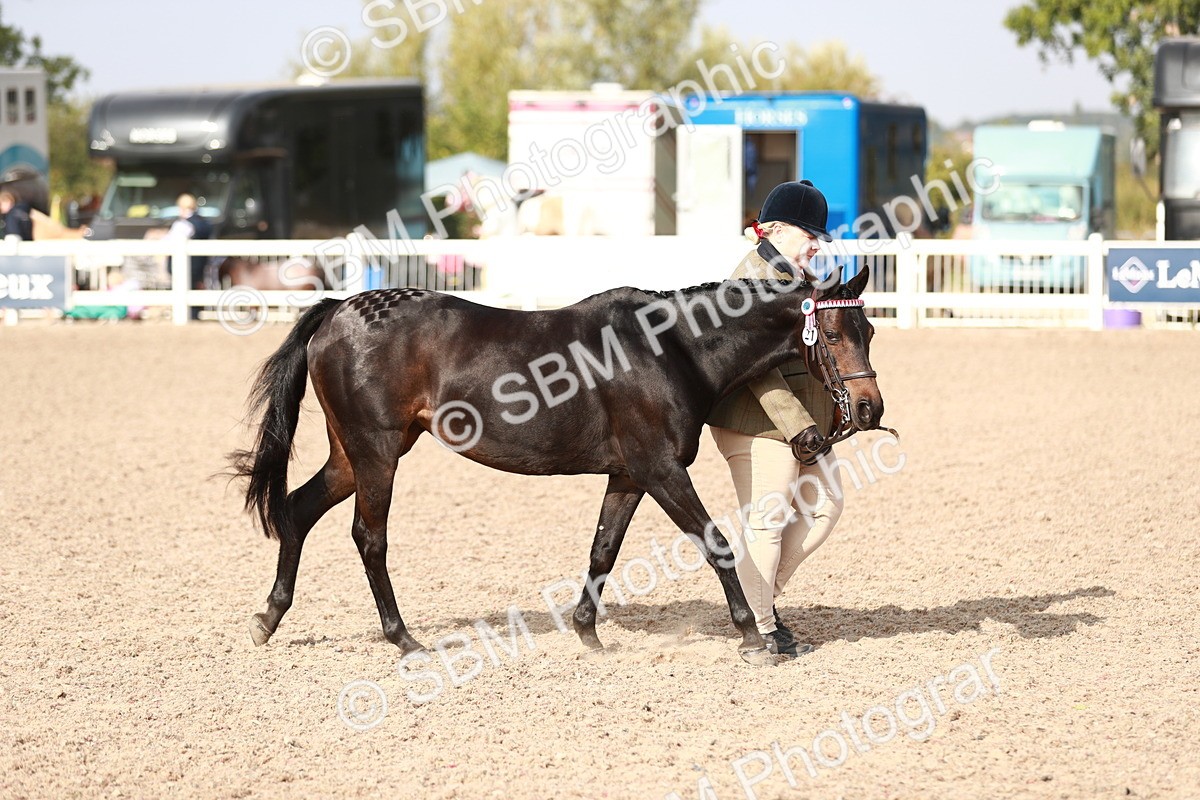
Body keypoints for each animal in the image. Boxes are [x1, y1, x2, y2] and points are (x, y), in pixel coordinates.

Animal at [229, 266, 885, 665]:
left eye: (870, 327)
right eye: (831, 331)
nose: (870, 408)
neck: (669, 348)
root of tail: (341, 310)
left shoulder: (629, 475)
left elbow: (603, 549)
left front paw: (587, 632)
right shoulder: (660, 470)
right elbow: (716, 543)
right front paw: (751, 634)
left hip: (350, 455)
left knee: (297, 510)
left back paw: (268, 619)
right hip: (377, 453)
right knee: (369, 537)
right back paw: (404, 639)